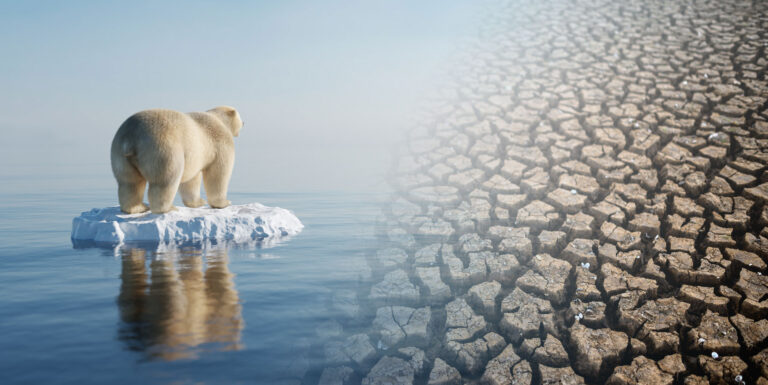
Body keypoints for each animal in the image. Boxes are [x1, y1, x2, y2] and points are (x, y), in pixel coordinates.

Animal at [110, 106, 243, 213]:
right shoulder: (220, 143)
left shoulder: (195, 155)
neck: (219, 120)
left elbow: (191, 179)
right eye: (240, 118)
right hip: (163, 149)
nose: (244, 122)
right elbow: (219, 173)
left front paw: (199, 202)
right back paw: (168, 208)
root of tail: (131, 138)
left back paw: (137, 208)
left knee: (129, 183)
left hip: (119, 155)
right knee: (166, 180)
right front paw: (224, 203)